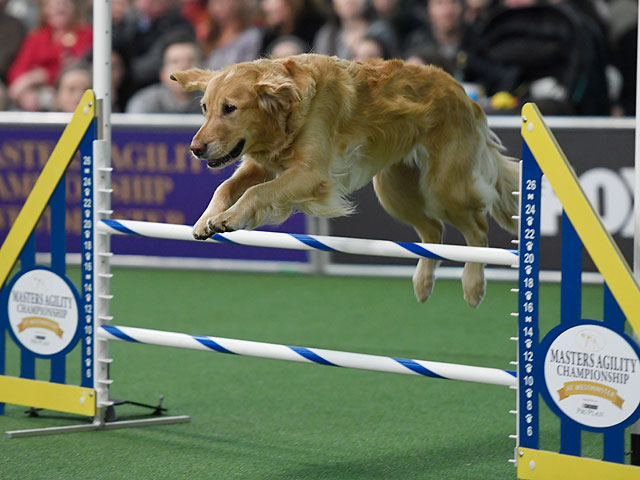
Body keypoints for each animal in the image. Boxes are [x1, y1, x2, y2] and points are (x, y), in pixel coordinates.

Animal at [171, 53, 520, 308]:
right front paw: (206, 219)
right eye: (205, 108)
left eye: (230, 108)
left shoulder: (310, 173)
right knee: (433, 230)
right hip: (394, 190)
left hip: (443, 188)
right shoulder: (263, 166)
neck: (291, 111)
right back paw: (422, 283)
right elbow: (226, 187)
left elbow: (257, 193)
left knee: (478, 231)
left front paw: (229, 218)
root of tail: (463, 93)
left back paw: (473, 285)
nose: (195, 149)